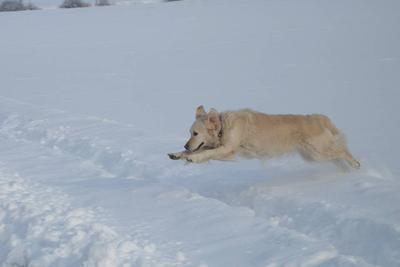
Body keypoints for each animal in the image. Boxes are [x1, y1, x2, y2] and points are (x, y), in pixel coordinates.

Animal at [167, 106, 360, 170]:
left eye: (195, 133)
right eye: (189, 132)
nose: (186, 146)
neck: (223, 127)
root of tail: (320, 118)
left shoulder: (228, 148)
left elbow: (204, 154)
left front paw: (192, 158)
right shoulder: (220, 147)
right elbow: (200, 151)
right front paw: (177, 154)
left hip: (317, 151)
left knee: (342, 151)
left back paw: (356, 165)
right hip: (312, 155)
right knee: (338, 155)